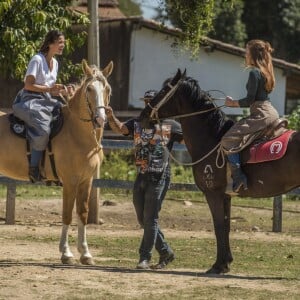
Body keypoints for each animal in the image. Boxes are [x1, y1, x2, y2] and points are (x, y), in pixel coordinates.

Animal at [0, 59, 112, 264]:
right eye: (89, 89)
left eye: (106, 88)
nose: (100, 119)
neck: (76, 132)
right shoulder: (70, 182)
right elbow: (67, 215)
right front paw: (66, 253)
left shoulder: (87, 181)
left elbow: (82, 213)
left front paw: (85, 253)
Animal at [139, 69, 300, 274]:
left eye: (164, 90)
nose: (143, 115)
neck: (213, 139)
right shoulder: (226, 196)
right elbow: (226, 226)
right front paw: (226, 262)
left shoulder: (213, 193)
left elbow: (218, 226)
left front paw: (218, 265)